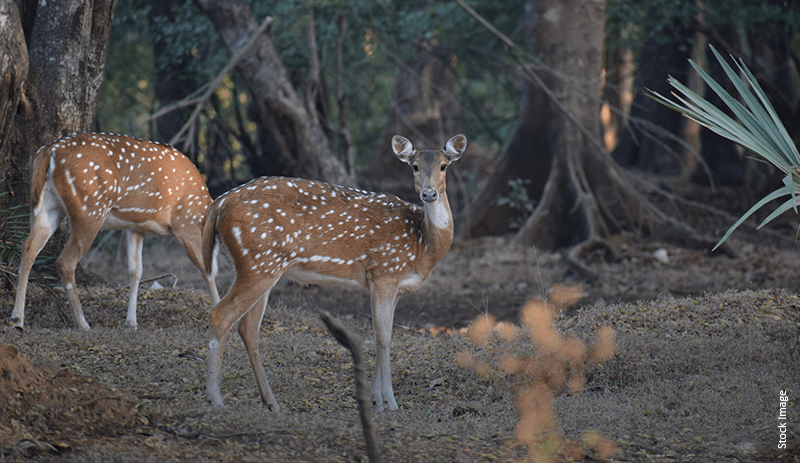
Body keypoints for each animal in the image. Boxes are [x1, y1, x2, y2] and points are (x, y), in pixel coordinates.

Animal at [10, 132, 222, 332]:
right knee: (65, 261)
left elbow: (135, 271)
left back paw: (17, 319)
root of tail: (49, 151)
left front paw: (131, 323)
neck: (203, 210)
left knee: (27, 248)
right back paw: (82, 324)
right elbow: (208, 270)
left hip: (46, 208)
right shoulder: (186, 223)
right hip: (90, 209)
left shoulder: (135, 227)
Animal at [202, 132, 468, 412]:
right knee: (221, 314)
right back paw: (216, 398)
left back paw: (271, 402)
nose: (429, 193)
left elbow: (378, 335)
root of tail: (217, 205)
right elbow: (385, 338)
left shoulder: (391, 285)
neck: (422, 245)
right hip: (258, 262)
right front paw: (390, 403)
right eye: (414, 166)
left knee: (248, 328)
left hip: (261, 267)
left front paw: (376, 401)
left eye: (443, 166)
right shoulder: (384, 272)